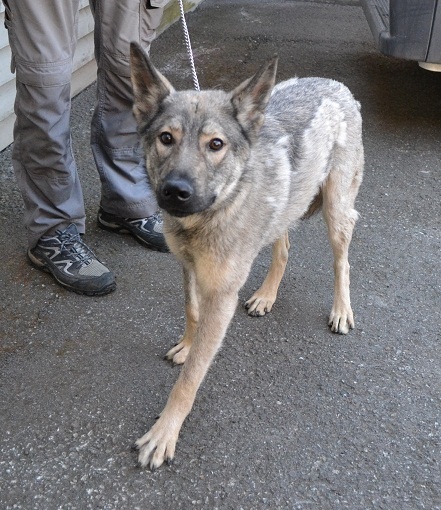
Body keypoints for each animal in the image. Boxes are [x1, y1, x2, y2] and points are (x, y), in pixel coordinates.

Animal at [129, 42, 363, 470]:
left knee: (342, 261)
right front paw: (188, 345)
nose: (176, 192)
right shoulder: (189, 269)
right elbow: (191, 311)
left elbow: (189, 379)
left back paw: (341, 309)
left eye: (215, 144)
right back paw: (267, 295)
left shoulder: (221, 296)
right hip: (283, 212)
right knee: (283, 249)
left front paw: (165, 432)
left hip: (336, 211)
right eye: (166, 138)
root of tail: (335, 84)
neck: (210, 213)